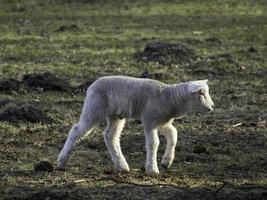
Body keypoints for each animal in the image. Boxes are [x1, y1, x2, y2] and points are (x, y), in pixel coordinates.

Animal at [57, 76, 216, 173]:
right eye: (201, 94)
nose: (213, 106)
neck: (169, 98)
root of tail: (91, 86)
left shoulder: (162, 122)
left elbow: (173, 134)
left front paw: (167, 161)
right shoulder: (150, 120)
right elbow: (154, 143)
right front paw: (152, 169)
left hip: (115, 115)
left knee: (110, 136)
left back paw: (122, 165)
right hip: (94, 108)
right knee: (76, 131)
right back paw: (62, 162)